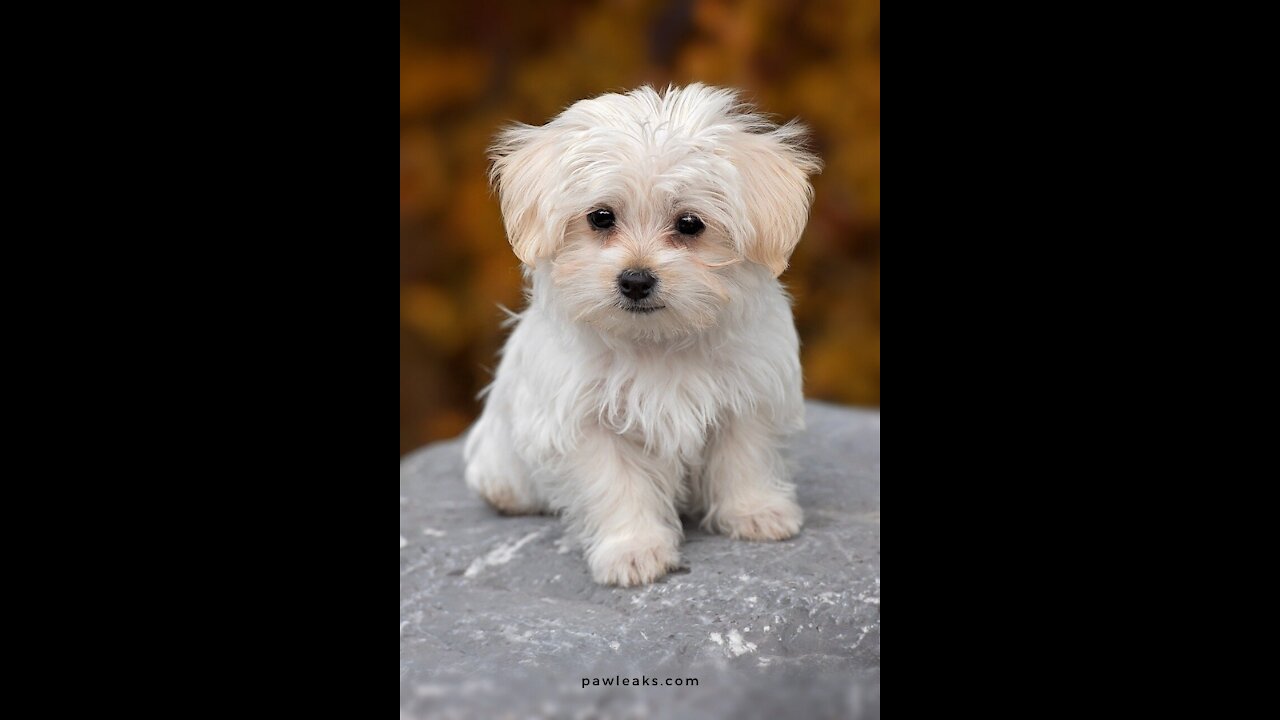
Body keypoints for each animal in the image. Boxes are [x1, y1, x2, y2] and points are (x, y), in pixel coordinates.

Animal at [468, 83, 819, 586]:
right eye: (600, 217)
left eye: (690, 224)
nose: (635, 280)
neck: (657, 341)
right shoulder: (586, 420)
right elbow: (617, 484)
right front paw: (632, 549)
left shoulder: (747, 392)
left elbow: (744, 457)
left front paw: (755, 511)